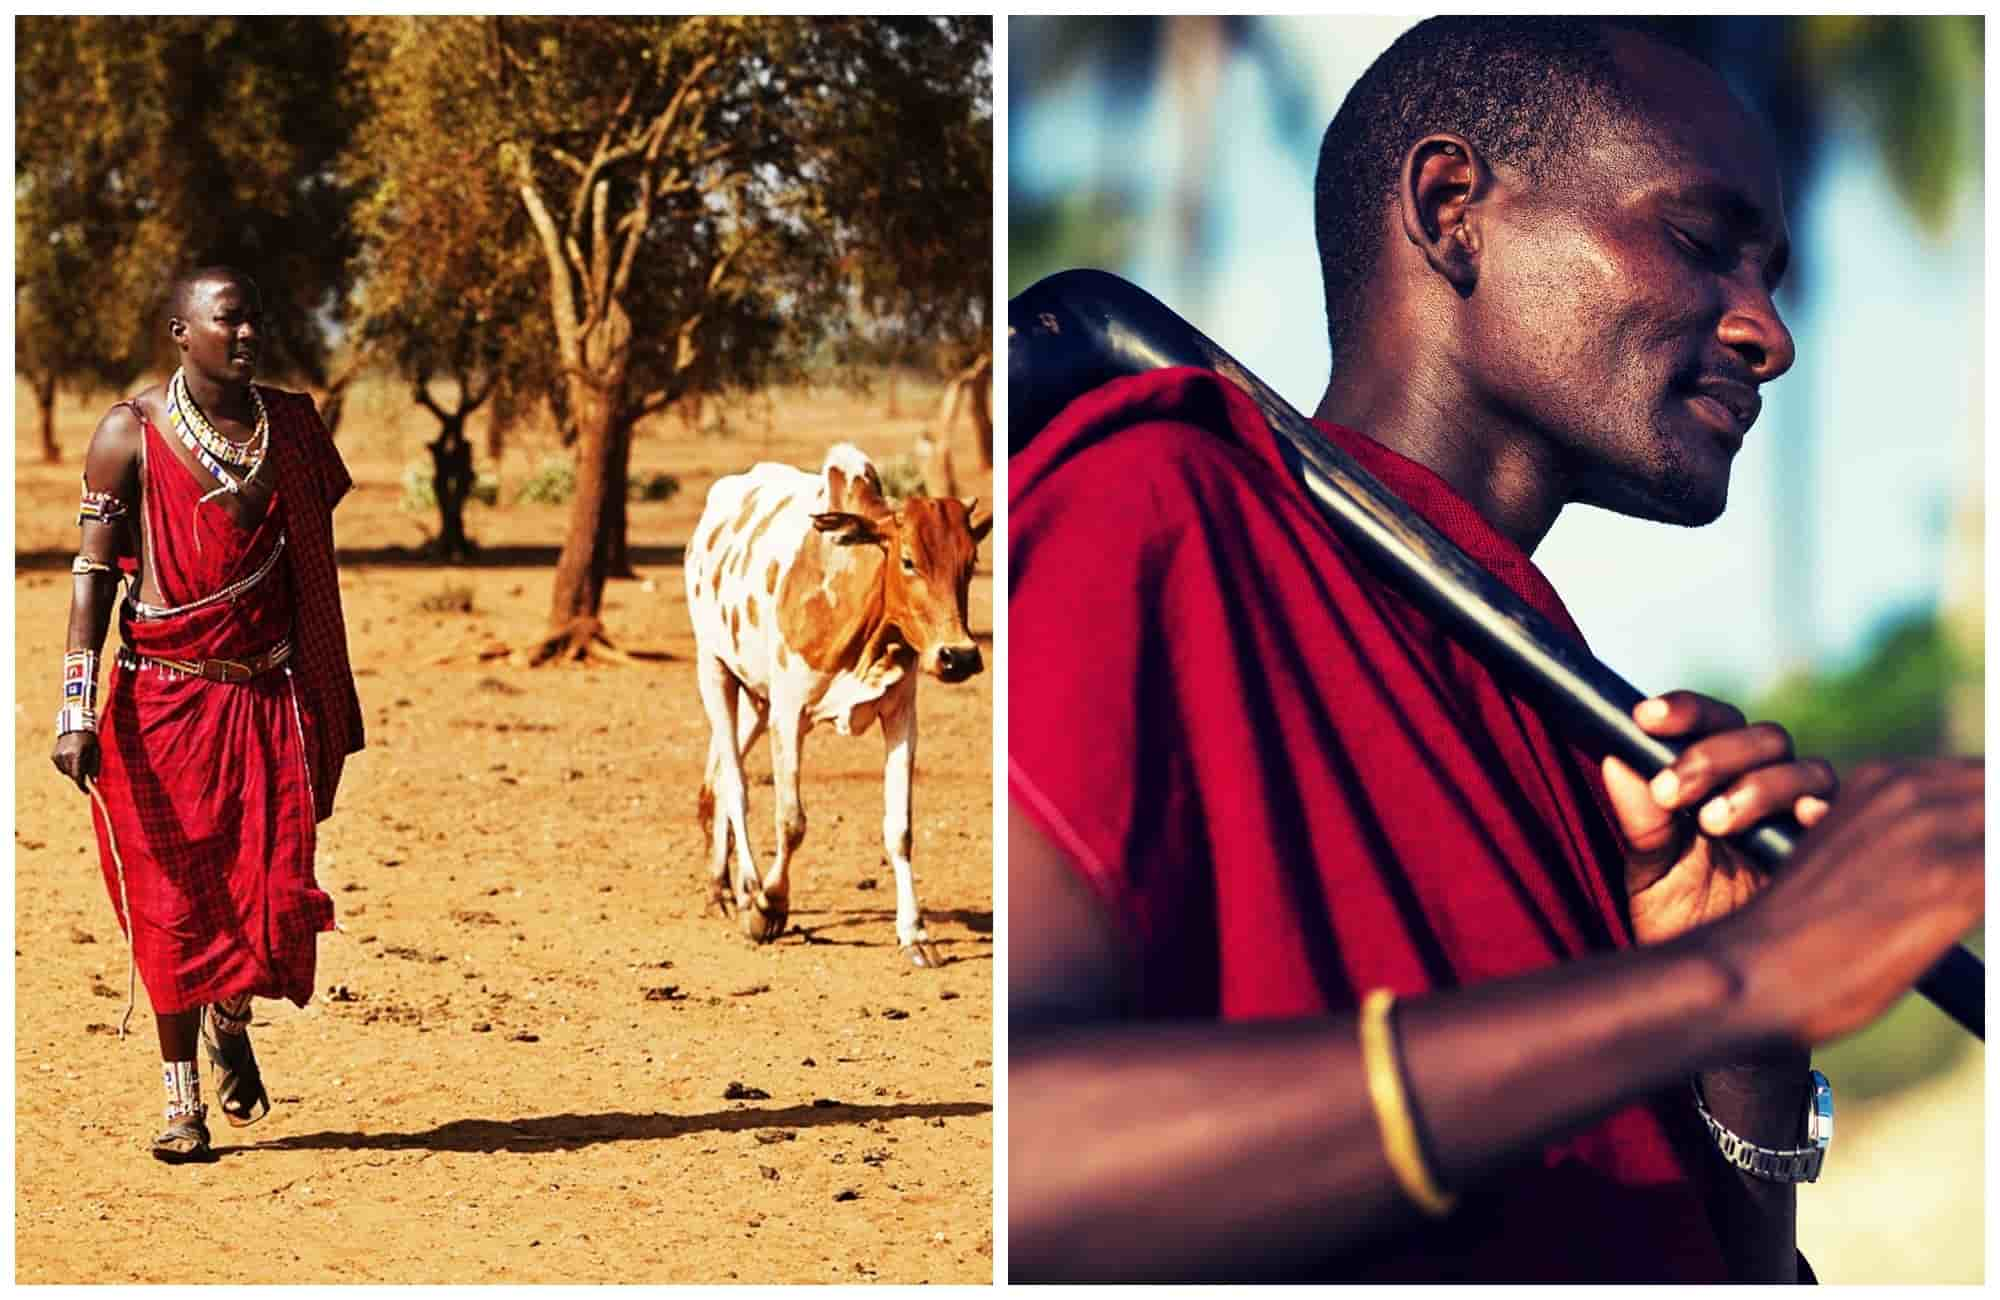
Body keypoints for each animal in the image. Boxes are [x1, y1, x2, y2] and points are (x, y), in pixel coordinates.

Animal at [688, 446, 992, 960]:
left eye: (970, 562)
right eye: (907, 560)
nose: (959, 656)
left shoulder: (901, 715)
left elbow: (900, 828)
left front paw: (915, 933)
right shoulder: (789, 713)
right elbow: (791, 820)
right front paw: (769, 905)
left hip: (755, 700)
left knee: (714, 781)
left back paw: (720, 889)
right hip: (715, 669)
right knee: (735, 782)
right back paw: (747, 889)